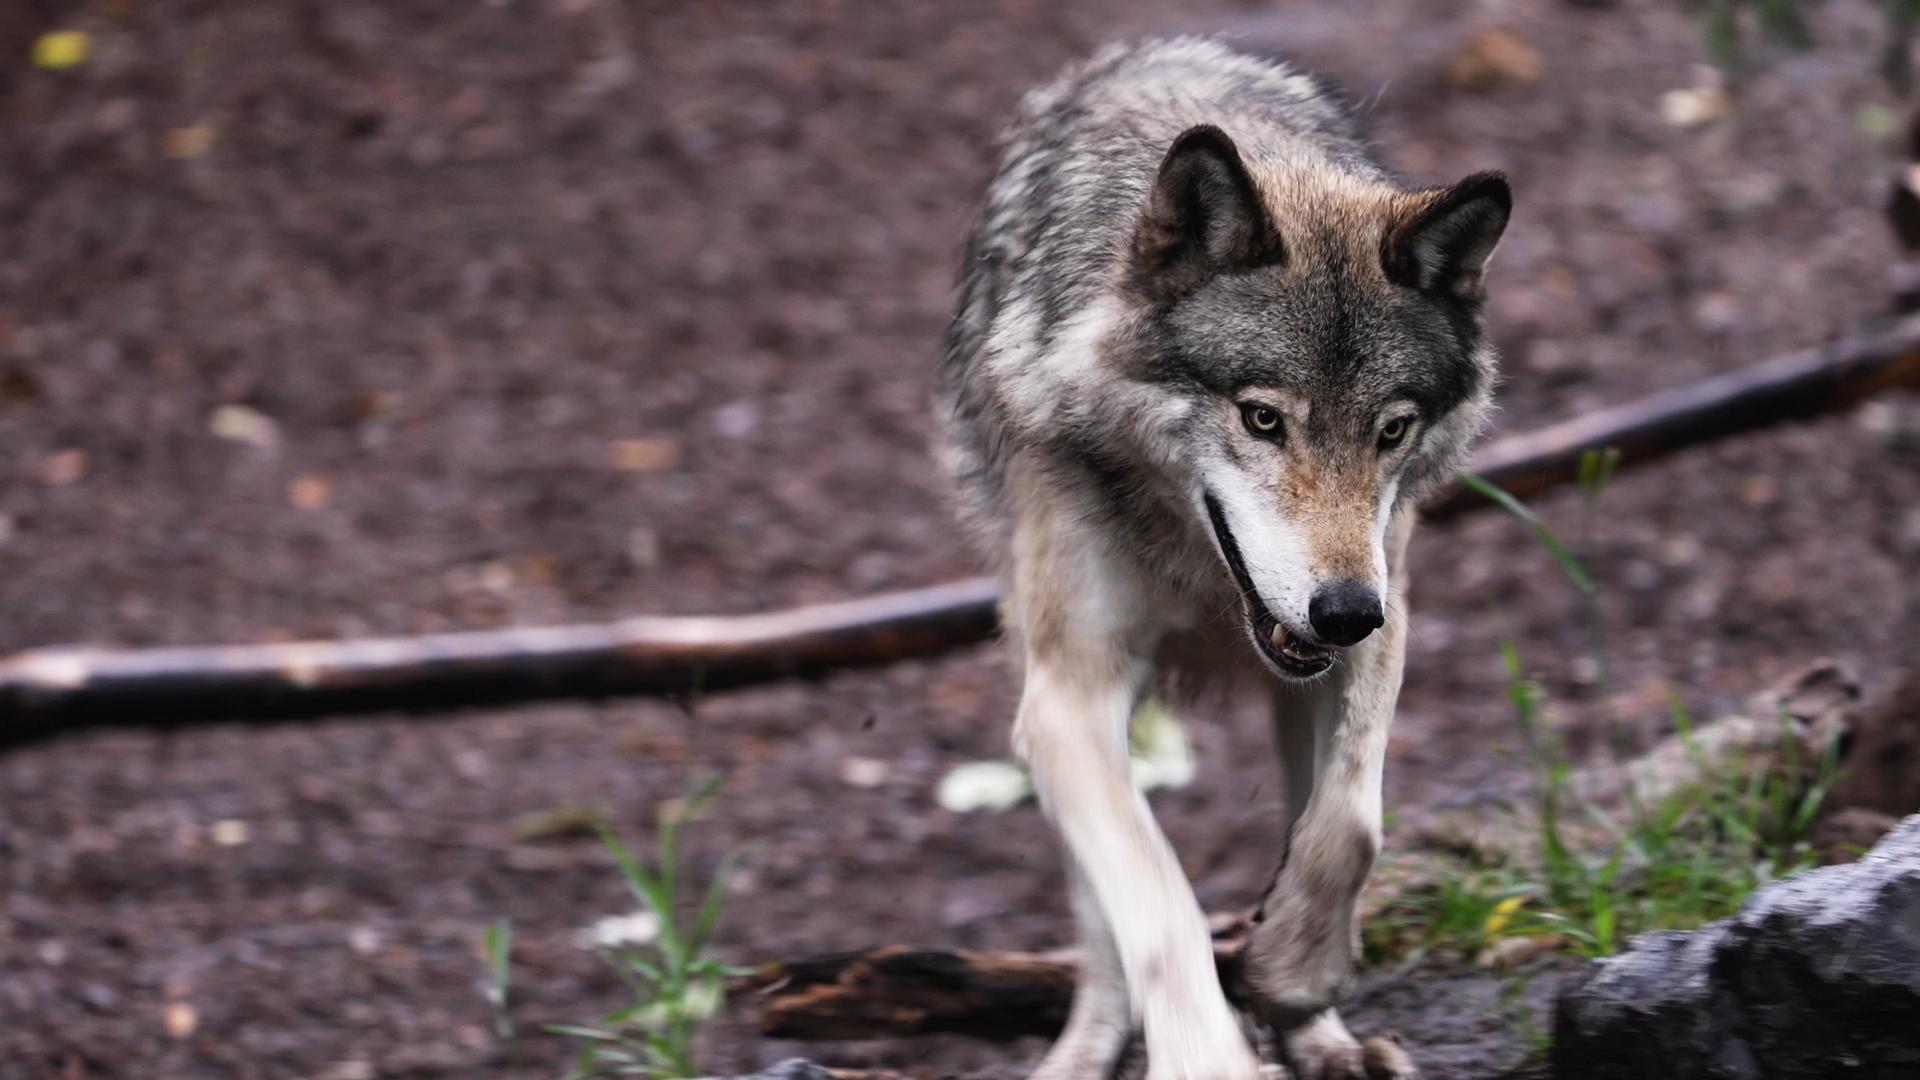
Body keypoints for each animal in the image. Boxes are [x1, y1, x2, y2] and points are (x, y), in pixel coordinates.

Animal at [935, 38, 1510, 1080]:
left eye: (1392, 430)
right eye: (1262, 418)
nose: (1340, 611)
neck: (1195, 567)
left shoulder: (1384, 612)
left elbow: (1351, 822)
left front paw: (1290, 971)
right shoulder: (1069, 700)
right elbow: (1157, 902)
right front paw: (1207, 1055)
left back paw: (1323, 1039)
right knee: (1100, 923)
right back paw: (1085, 1050)